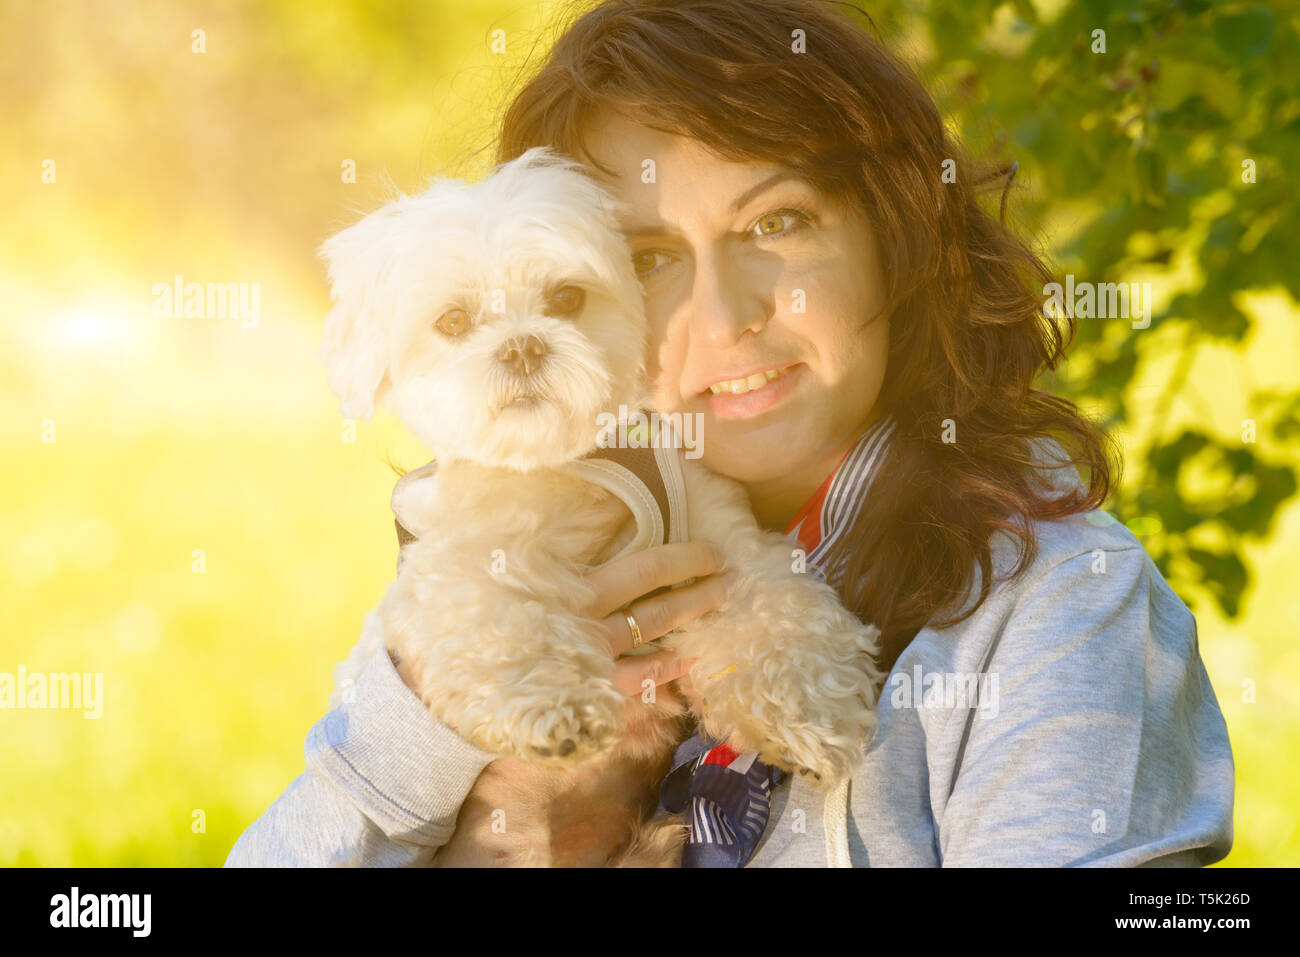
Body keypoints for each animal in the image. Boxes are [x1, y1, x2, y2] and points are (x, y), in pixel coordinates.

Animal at [318, 143, 883, 868]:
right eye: (453, 322)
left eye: (566, 298)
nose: (523, 345)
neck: (567, 463)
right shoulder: (455, 566)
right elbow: (503, 616)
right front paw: (553, 705)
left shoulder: (721, 537)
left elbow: (775, 610)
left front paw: (808, 712)